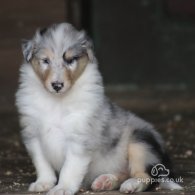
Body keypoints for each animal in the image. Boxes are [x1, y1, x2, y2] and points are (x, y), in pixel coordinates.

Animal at [15, 23, 183, 195]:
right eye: (45, 60)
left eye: (71, 60)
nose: (57, 85)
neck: (57, 101)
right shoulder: (33, 135)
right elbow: (42, 164)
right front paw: (43, 183)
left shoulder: (80, 139)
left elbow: (69, 168)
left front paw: (62, 188)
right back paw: (106, 181)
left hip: (141, 142)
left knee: (145, 176)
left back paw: (131, 185)